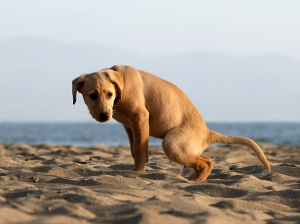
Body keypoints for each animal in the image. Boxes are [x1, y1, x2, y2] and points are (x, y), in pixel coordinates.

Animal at [72, 65, 270, 182]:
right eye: (92, 96)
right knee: (203, 160)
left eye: (109, 94)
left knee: (207, 162)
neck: (121, 88)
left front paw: (137, 173)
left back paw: (194, 181)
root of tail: (207, 133)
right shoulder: (129, 126)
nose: (105, 115)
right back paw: (191, 180)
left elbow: (139, 151)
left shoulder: (140, 118)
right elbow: (133, 150)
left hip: (172, 143)